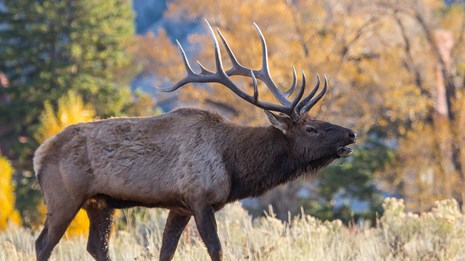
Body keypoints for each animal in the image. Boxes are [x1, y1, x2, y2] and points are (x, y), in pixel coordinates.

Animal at [34, 20, 358, 260]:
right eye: (311, 128)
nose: (351, 133)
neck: (234, 166)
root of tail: (38, 155)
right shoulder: (200, 198)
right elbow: (216, 250)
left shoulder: (180, 206)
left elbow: (167, 251)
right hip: (64, 196)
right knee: (44, 243)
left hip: (100, 203)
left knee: (96, 246)